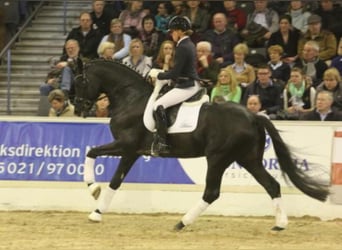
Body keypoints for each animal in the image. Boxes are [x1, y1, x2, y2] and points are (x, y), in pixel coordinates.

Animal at [74, 59, 328, 231]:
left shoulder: (126, 146)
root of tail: (253, 116)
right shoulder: (132, 152)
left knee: (212, 192)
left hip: (218, 158)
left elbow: (94, 155)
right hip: (247, 159)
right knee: (271, 185)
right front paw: (97, 210)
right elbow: (113, 178)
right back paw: (280, 224)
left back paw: (182, 222)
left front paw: (93, 192)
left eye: (80, 81)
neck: (131, 98)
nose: (77, 108)